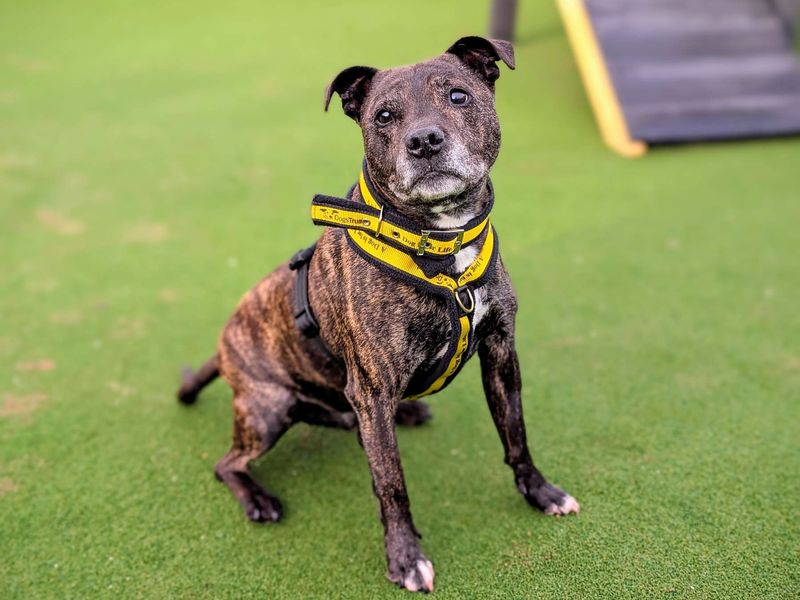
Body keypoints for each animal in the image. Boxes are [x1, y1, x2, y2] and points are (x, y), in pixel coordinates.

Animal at [177, 36, 576, 592]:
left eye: (458, 96)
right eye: (384, 115)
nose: (424, 141)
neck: (441, 246)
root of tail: (222, 346)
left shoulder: (502, 357)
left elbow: (516, 434)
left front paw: (541, 492)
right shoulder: (371, 389)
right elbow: (391, 483)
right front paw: (405, 558)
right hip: (267, 410)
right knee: (226, 463)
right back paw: (257, 498)